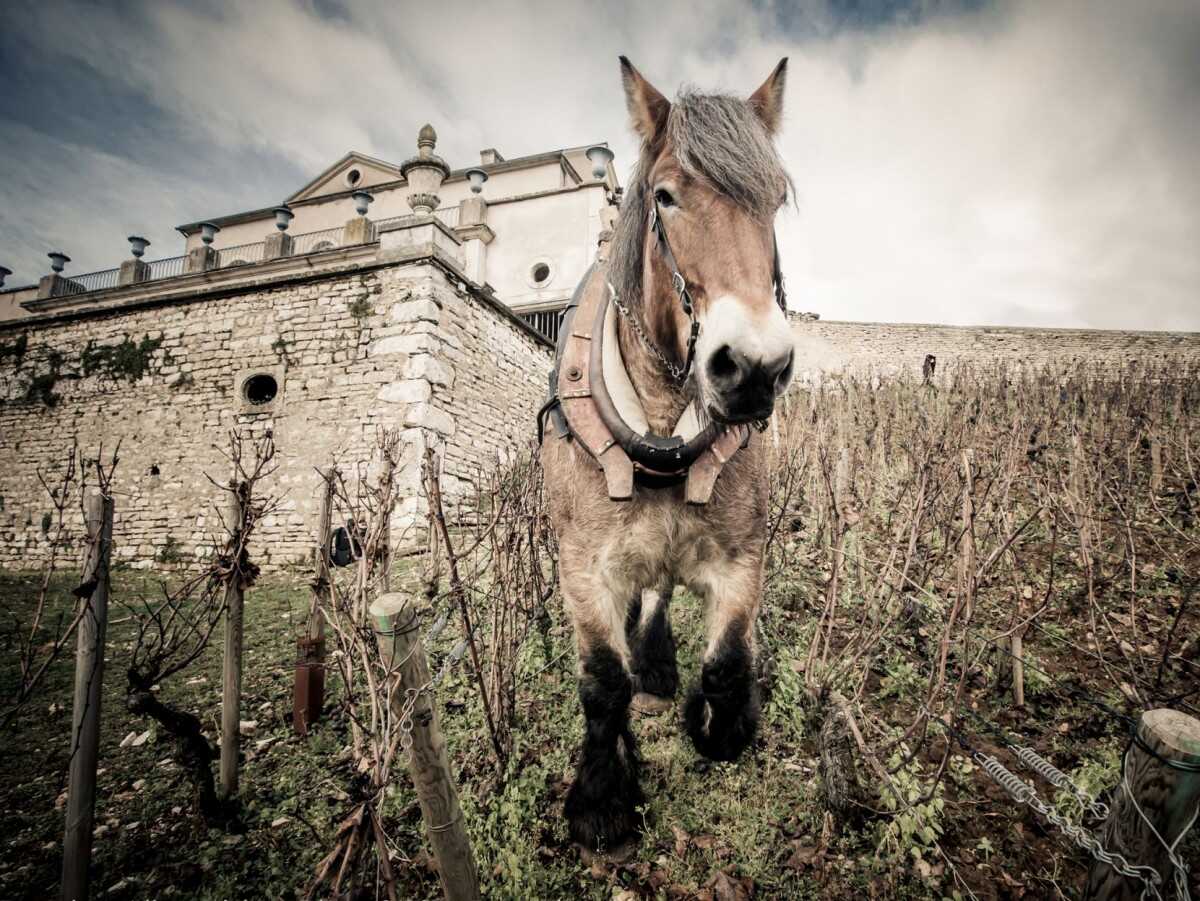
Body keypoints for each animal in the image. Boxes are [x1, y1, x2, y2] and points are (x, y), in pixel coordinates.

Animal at [539, 56, 795, 853]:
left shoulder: (742, 558)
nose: (754, 368)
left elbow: (726, 669)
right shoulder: (582, 566)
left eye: (776, 200)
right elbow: (602, 682)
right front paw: (602, 795)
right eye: (665, 195)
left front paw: (715, 720)